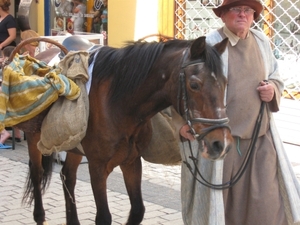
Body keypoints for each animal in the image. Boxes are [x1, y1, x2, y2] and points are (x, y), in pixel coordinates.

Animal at [14, 36, 233, 224]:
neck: (117, 103)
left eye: (225, 83)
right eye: (194, 84)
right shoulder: (97, 167)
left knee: (68, 177)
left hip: (73, 147)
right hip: (34, 139)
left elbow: (137, 211)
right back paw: (40, 216)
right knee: (37, 173)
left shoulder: (131, 162)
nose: (220, 143)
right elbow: (104, 217)